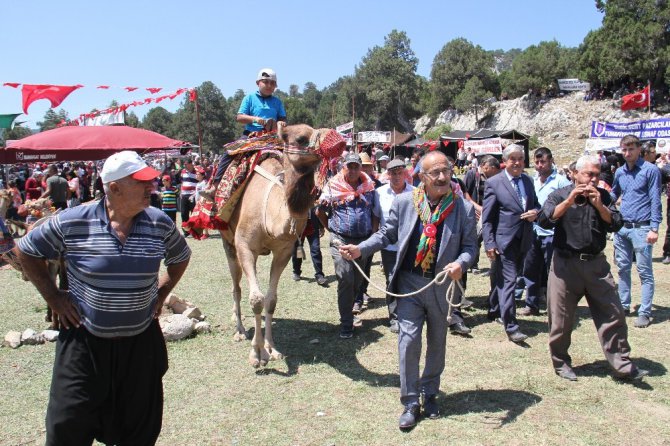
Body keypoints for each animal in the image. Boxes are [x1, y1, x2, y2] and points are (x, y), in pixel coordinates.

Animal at [223, 123, 344, 368]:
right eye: (300, 138)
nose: (338, 140)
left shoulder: (284, 251)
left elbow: (270, 301)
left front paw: (271, 349)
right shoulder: (245, 246)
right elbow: (256, 299)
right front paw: (257, 354)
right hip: (228, 243)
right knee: (236, 286)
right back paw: (239, 329)